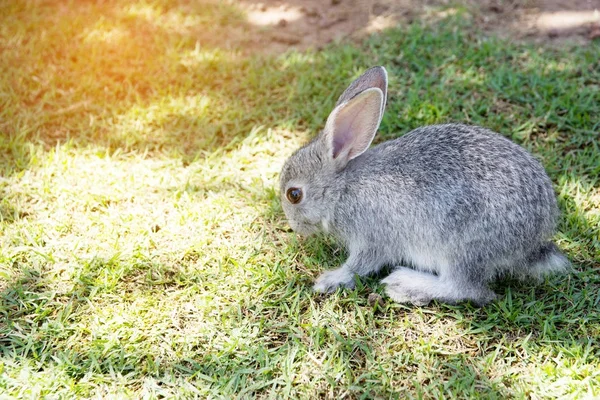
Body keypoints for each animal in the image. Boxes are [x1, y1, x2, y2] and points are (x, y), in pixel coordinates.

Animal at [278, 66, 568, 306]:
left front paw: (330, 279)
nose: (295, 227)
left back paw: (405, 285)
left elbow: (359, 264)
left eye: (294, 195)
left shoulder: (372, 236)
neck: (341, 188)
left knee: (468, 290)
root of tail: (533, 242)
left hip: (463, 247)